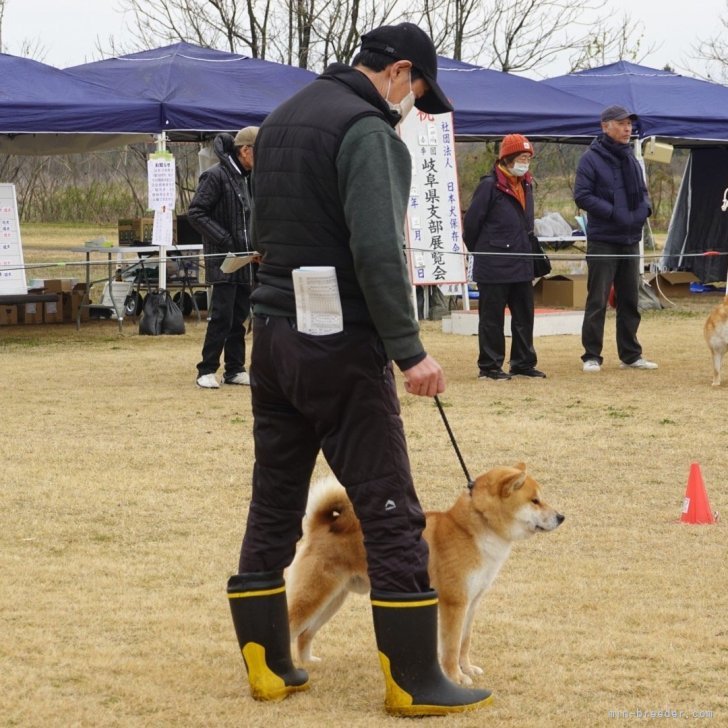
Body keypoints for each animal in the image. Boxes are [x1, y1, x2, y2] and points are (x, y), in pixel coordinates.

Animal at [288, 464, 564, 684]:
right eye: (535, 501)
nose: (561, 517)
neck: (474, 529)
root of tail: (323, 525)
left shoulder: (471, 602)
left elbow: (464, 643)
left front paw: (467, 669)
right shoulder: (454, 602)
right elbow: (451, 647)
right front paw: (456, 678)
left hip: (334, 599)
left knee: (304, 634)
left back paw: (308, 662)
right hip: (316, 595)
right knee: (293, 626)